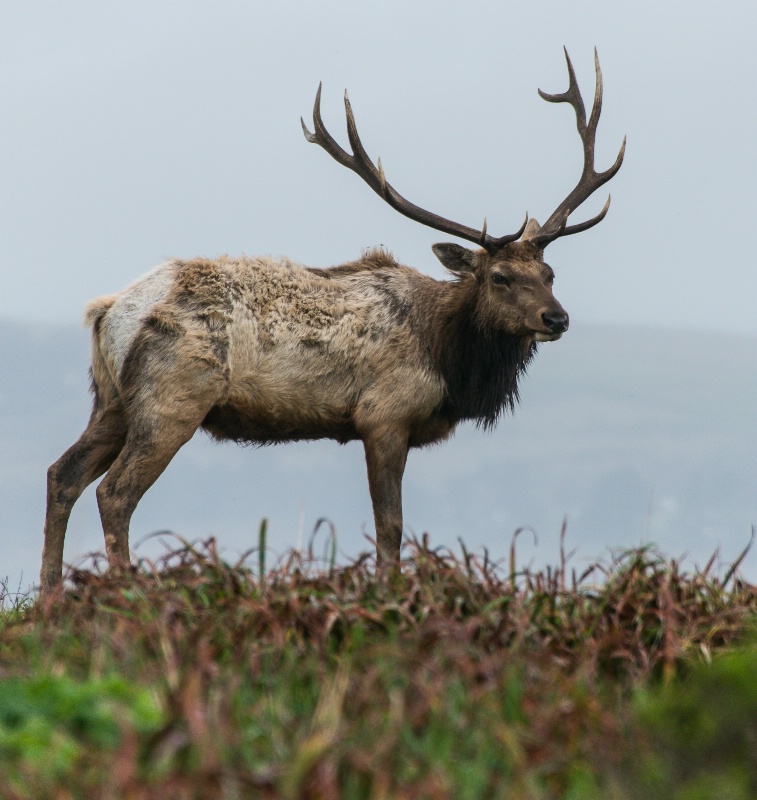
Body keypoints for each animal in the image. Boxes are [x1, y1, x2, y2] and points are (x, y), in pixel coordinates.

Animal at [38, 45, 624, 592]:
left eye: (549, 272)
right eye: (499, 277)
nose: (557, 318)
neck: (448, 360)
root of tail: (109, 311)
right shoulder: (383, 415)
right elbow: (390, 527)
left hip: (113, 399)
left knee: (62, 474)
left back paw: (50, 598)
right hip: (172, 398)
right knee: (114, 492)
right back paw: (127, 591)